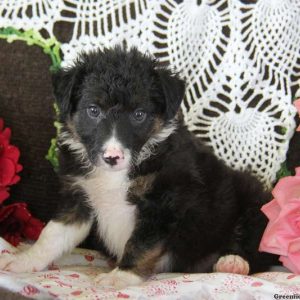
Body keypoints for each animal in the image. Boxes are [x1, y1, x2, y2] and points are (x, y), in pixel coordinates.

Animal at [0, 47, 278, 288]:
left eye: (139, 114)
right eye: (93, 110)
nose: (112, 157)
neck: (116, 175)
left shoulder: (162, 202)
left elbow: (140, 244)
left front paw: (120, 277)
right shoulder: (78, 198)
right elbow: (52, 234)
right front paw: (23, 261)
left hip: (254, 201)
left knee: (257, 250)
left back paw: (233, 262)